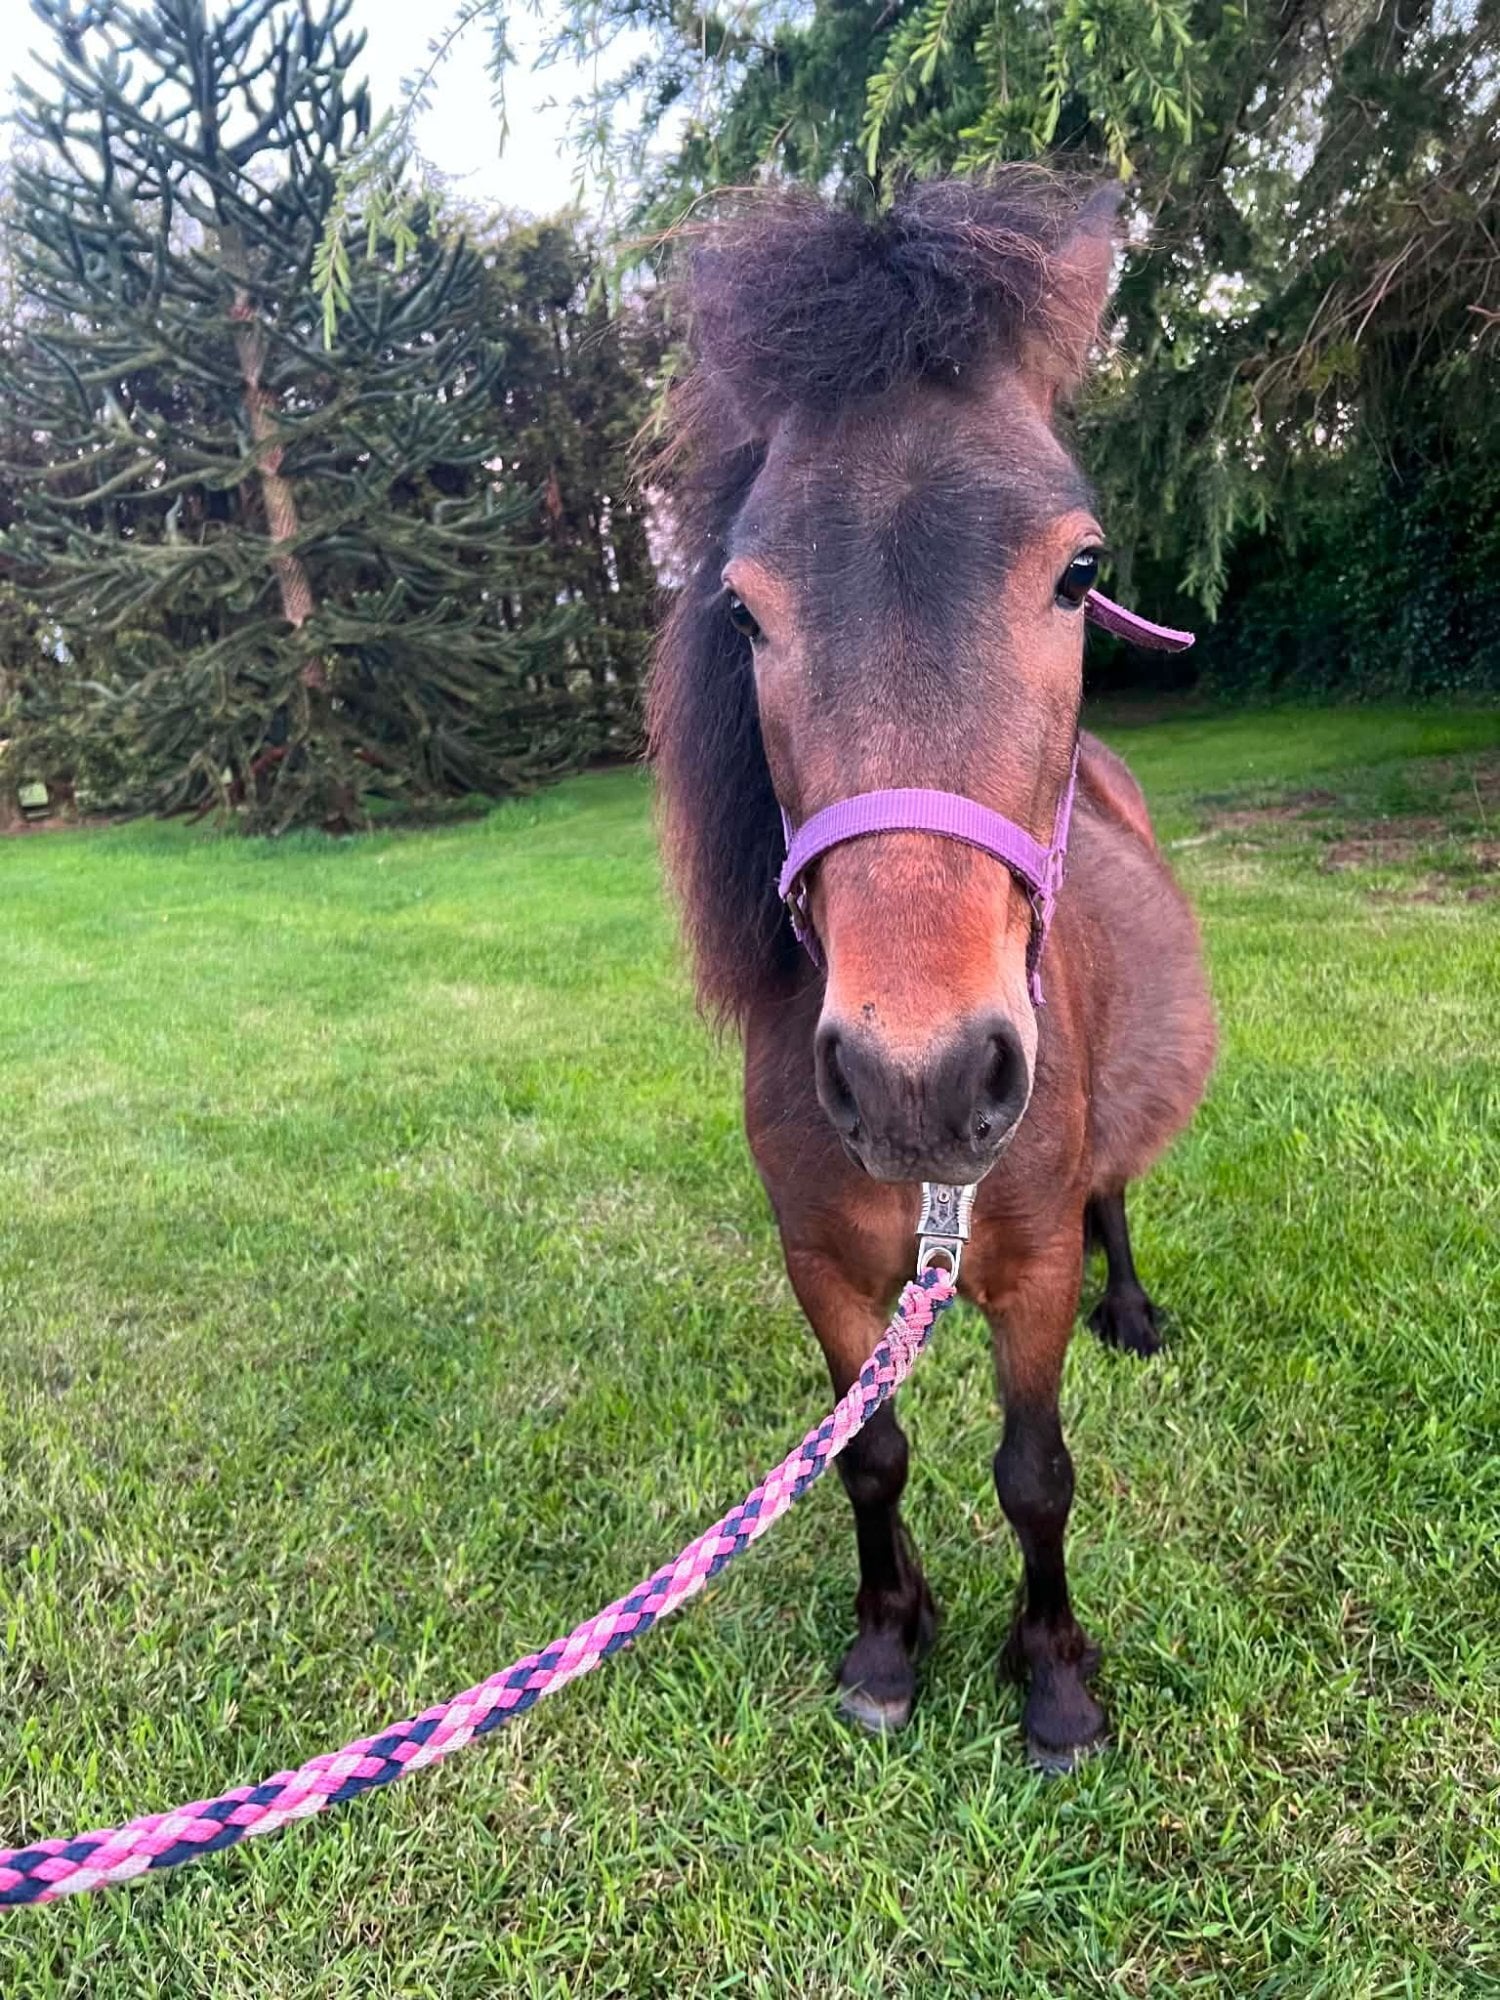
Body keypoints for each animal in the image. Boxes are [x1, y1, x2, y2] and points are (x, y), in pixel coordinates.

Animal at [647, 172, 1216, 1768]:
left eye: (1081, 571)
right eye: (741, 608)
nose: (920, 1077)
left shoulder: (1027, 1273)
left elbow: (1036, 1470)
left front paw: (1056, 1679)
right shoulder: (825, 1267)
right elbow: (873, 1457)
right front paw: (891, 1639)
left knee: (1114, 1195)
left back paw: (1136, 1310)